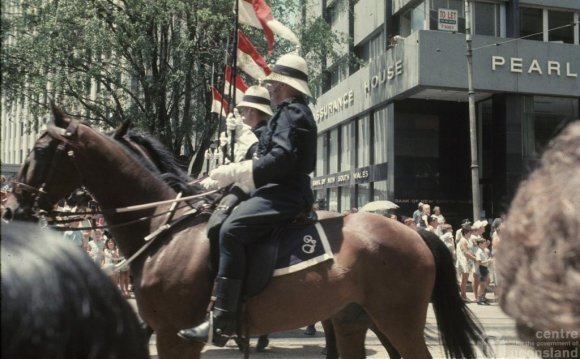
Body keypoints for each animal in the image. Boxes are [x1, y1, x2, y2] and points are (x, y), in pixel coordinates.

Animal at [2, 107, 488, 359]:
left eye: (41, 149)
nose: (14, 207)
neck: (162, 228)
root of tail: (412, 232)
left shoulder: (173, 335)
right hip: (354, 321)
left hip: (398, 321)